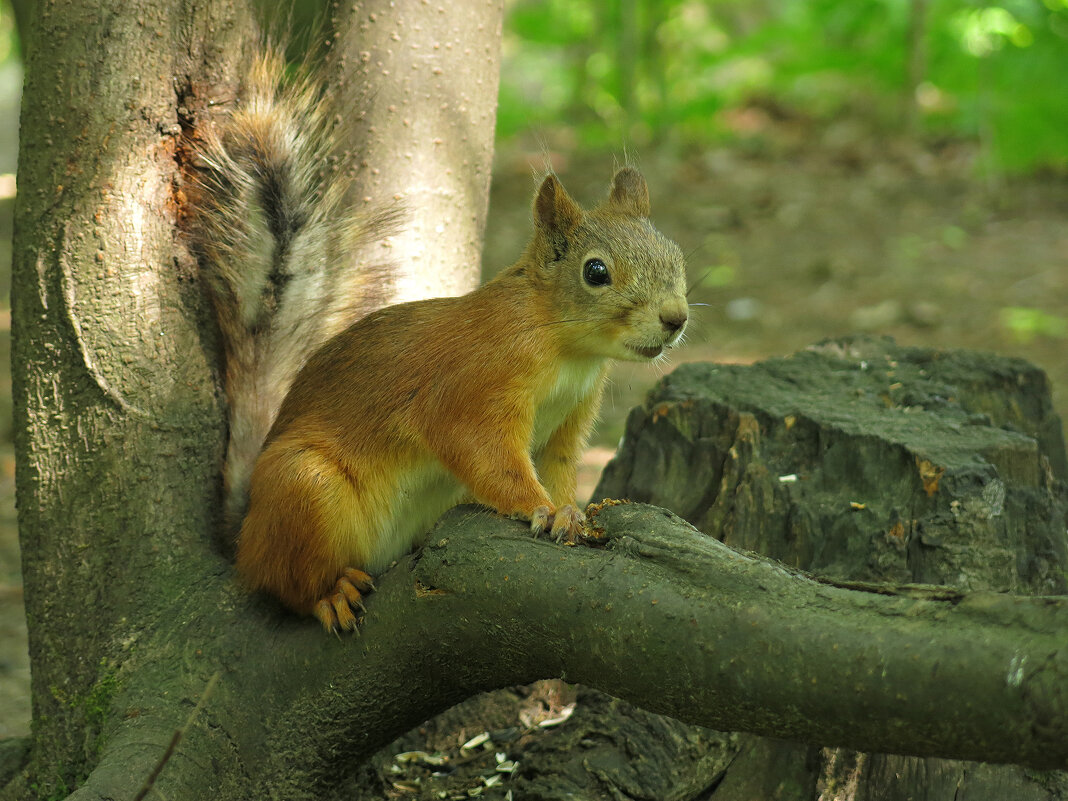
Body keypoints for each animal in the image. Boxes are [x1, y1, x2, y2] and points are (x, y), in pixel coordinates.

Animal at [192, 53, 692, 636]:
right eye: (596, 272)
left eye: (676, 255)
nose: (676, 318)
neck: (568, 352)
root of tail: (245, 529)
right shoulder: (472, 391)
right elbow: (487, 459)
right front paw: (540, 508)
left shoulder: (569, 421)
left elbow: (561, 467)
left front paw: (571, 511)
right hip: (303, 487)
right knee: (283, 580)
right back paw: (330, 593)